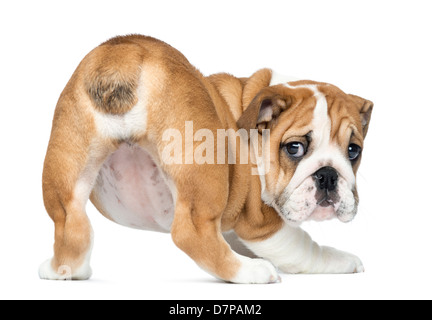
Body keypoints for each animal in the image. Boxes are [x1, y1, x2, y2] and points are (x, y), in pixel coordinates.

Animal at [38, 35, 372, 284]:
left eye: (353, 151)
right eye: (294, 148)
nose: (328, 174)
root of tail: (125, 54)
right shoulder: (261, 221)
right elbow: (304, 249)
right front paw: (341, 260)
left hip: (68, 161)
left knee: (70, 223)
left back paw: (62, 270)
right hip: (204, 172)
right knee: (192, 232)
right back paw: (250, 272)